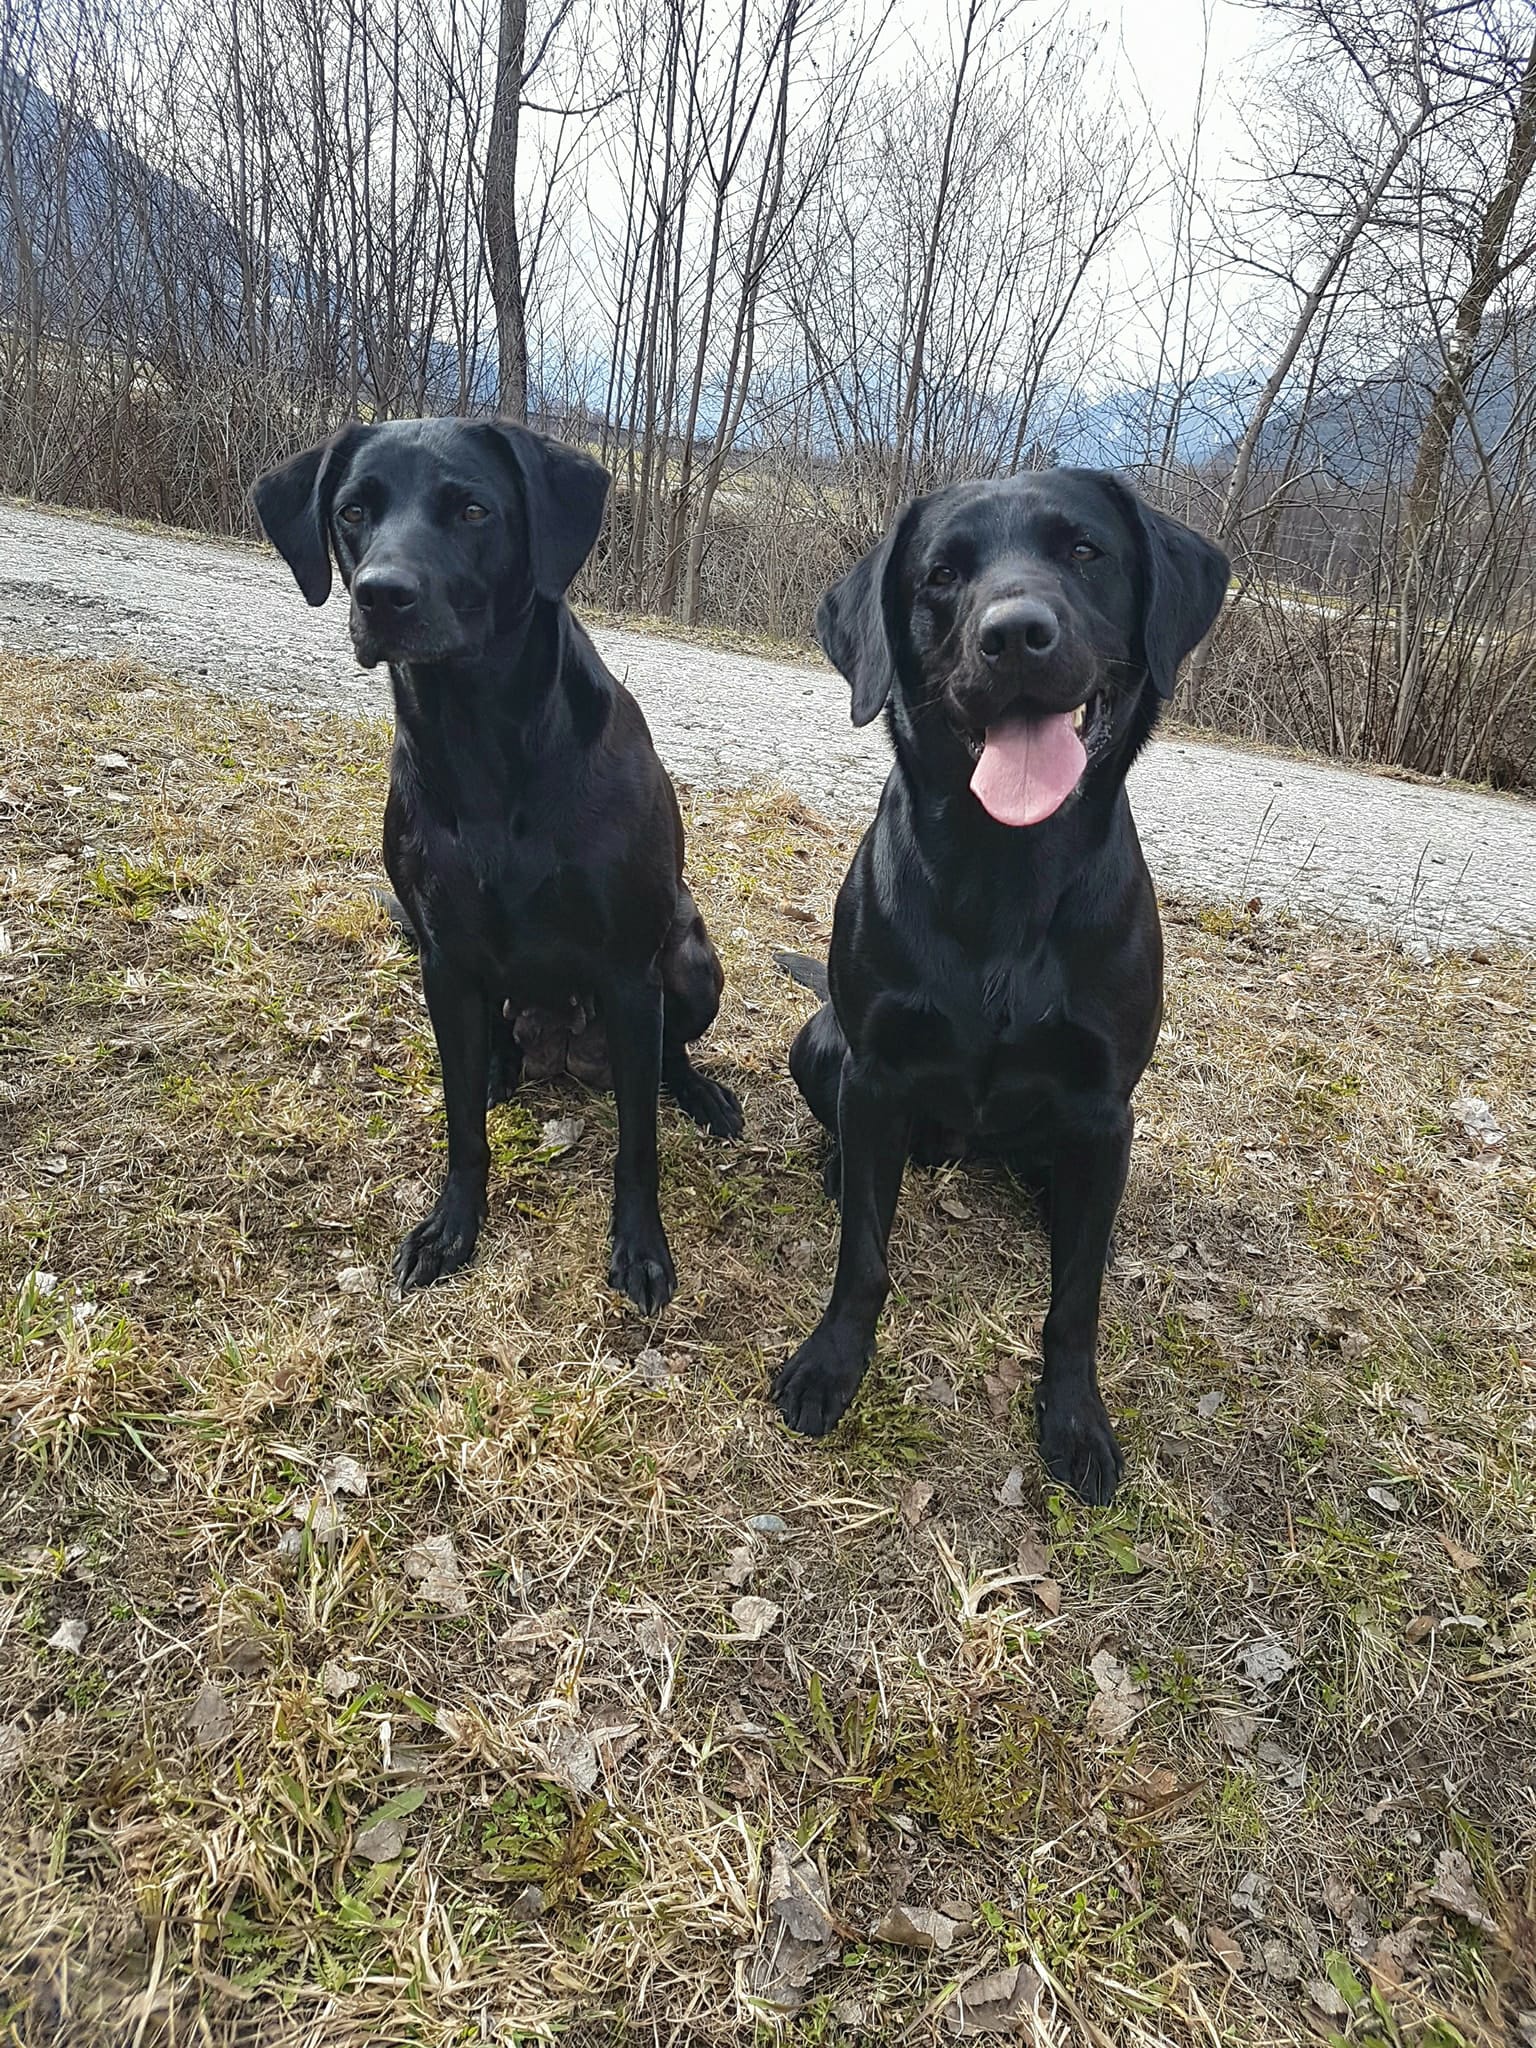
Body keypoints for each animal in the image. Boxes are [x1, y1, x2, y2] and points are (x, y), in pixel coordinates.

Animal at [253, 419, 745, 1310]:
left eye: (474, 510)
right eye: (352, 511)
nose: (381, 595)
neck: (482, 739)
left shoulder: (630, 973)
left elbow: (638, 1144)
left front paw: (640, 1247)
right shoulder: (446, 962)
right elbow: (463, 1131)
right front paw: (452, 1226)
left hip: (690, 960)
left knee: (667, 1058)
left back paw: (699, 1094)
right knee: (494, 1053)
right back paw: (498, 1069)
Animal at [774, 468, 1236, 1507]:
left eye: (1085, 550)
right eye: (942, 574)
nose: (1015, 632)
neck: (1006, 869)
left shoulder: (1105, 1109)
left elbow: (1075, 1303)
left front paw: (1074, 1419)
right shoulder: (874, 1071)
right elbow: (863, 1254)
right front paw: (832, 1363)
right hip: (821, 1042)